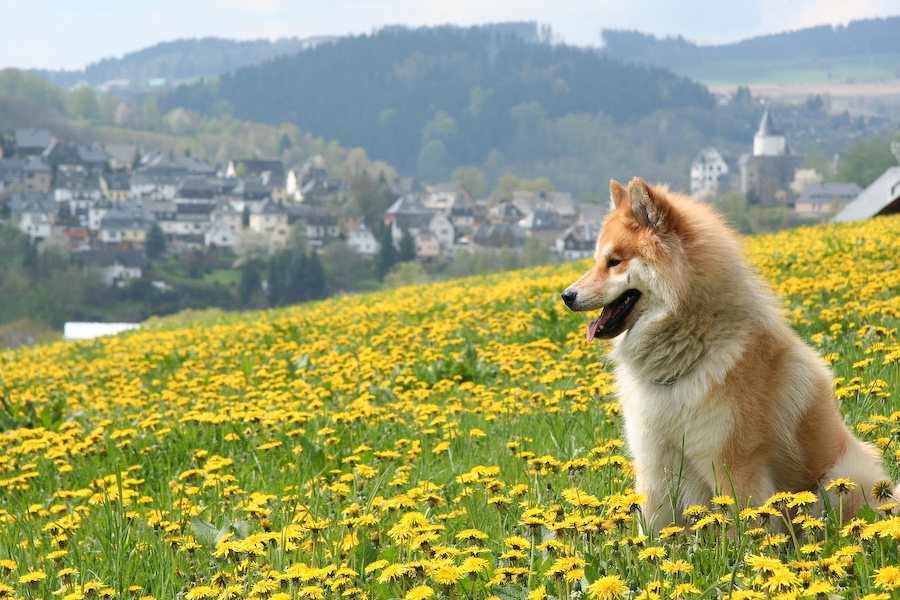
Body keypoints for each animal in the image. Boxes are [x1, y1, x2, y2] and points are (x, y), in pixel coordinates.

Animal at [564, 177, 892, 528]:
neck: (686, 357)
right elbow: (652, 530)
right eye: (597, 261)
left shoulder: (734, 465)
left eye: (614, 261)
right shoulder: (654, 467)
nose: (566, 295)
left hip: (842, 475)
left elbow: (743, 527)